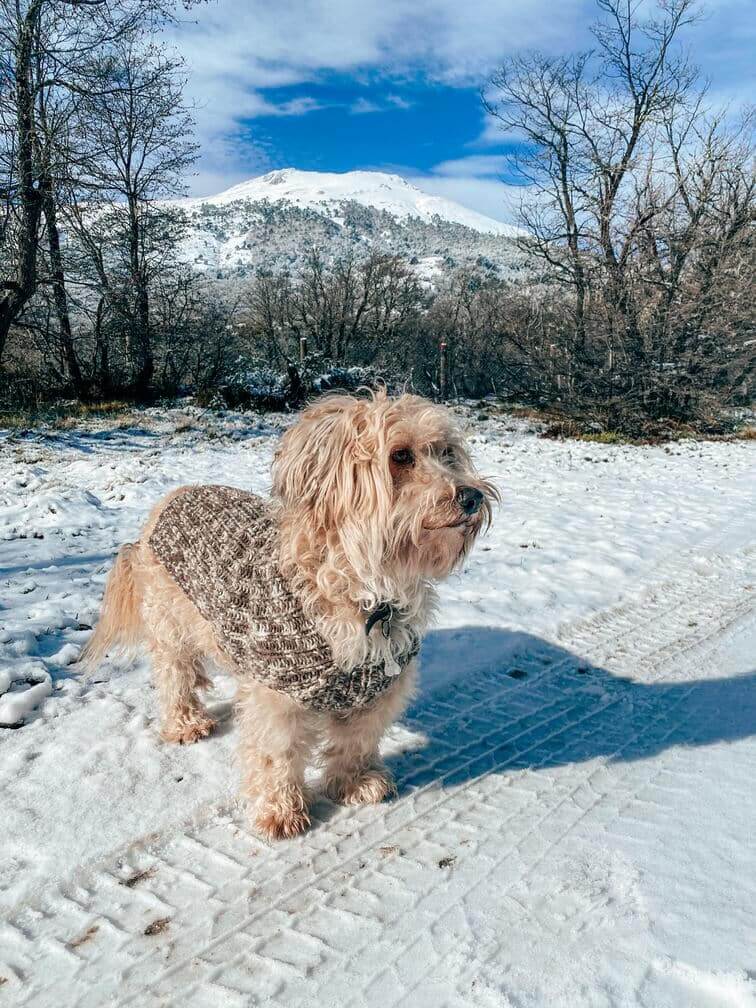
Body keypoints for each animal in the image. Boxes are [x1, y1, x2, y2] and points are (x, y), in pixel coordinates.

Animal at [81, 393, 497, 842]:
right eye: (400, 455)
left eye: (447, 452)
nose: (472, 496)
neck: (362, 591)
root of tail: (171, 497)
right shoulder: (277, 698)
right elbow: (276, 754)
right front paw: (280, 811)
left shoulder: (379, 692)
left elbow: (356, 741)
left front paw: (354, 783)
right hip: (170, 624)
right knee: (175, 676)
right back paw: (185, 723)